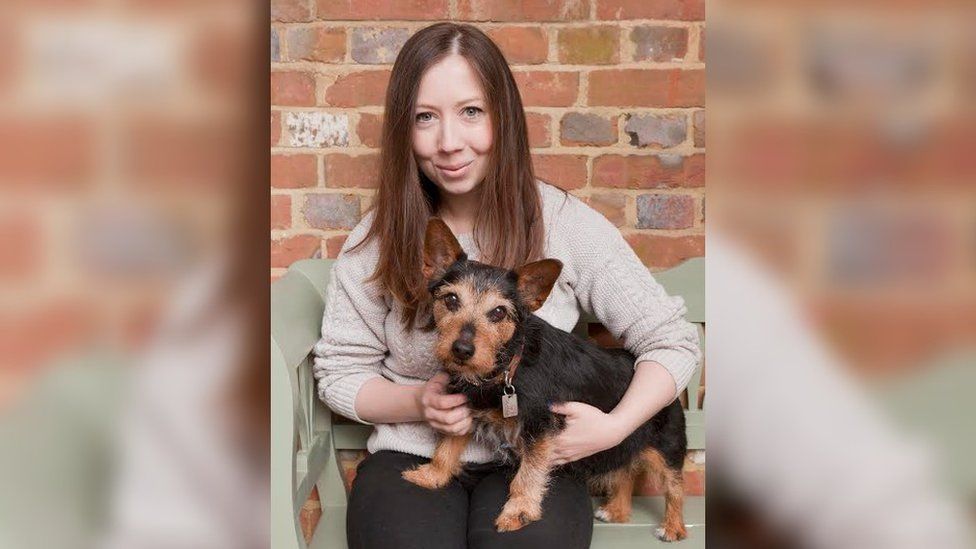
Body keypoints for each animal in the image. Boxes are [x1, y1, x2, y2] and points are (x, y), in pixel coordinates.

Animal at [402, 218, 688, 540]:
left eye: (498, 312)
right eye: (451, 299)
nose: (462, 350)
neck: (507, 369)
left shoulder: (540, 430)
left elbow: (527, 475)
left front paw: (518, 511)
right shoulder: (466, 409)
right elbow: (447, 446)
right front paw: (432, 475)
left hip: (665, 448)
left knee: (674, 487)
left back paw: (673, 526)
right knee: (624, 472)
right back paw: (617, 510)